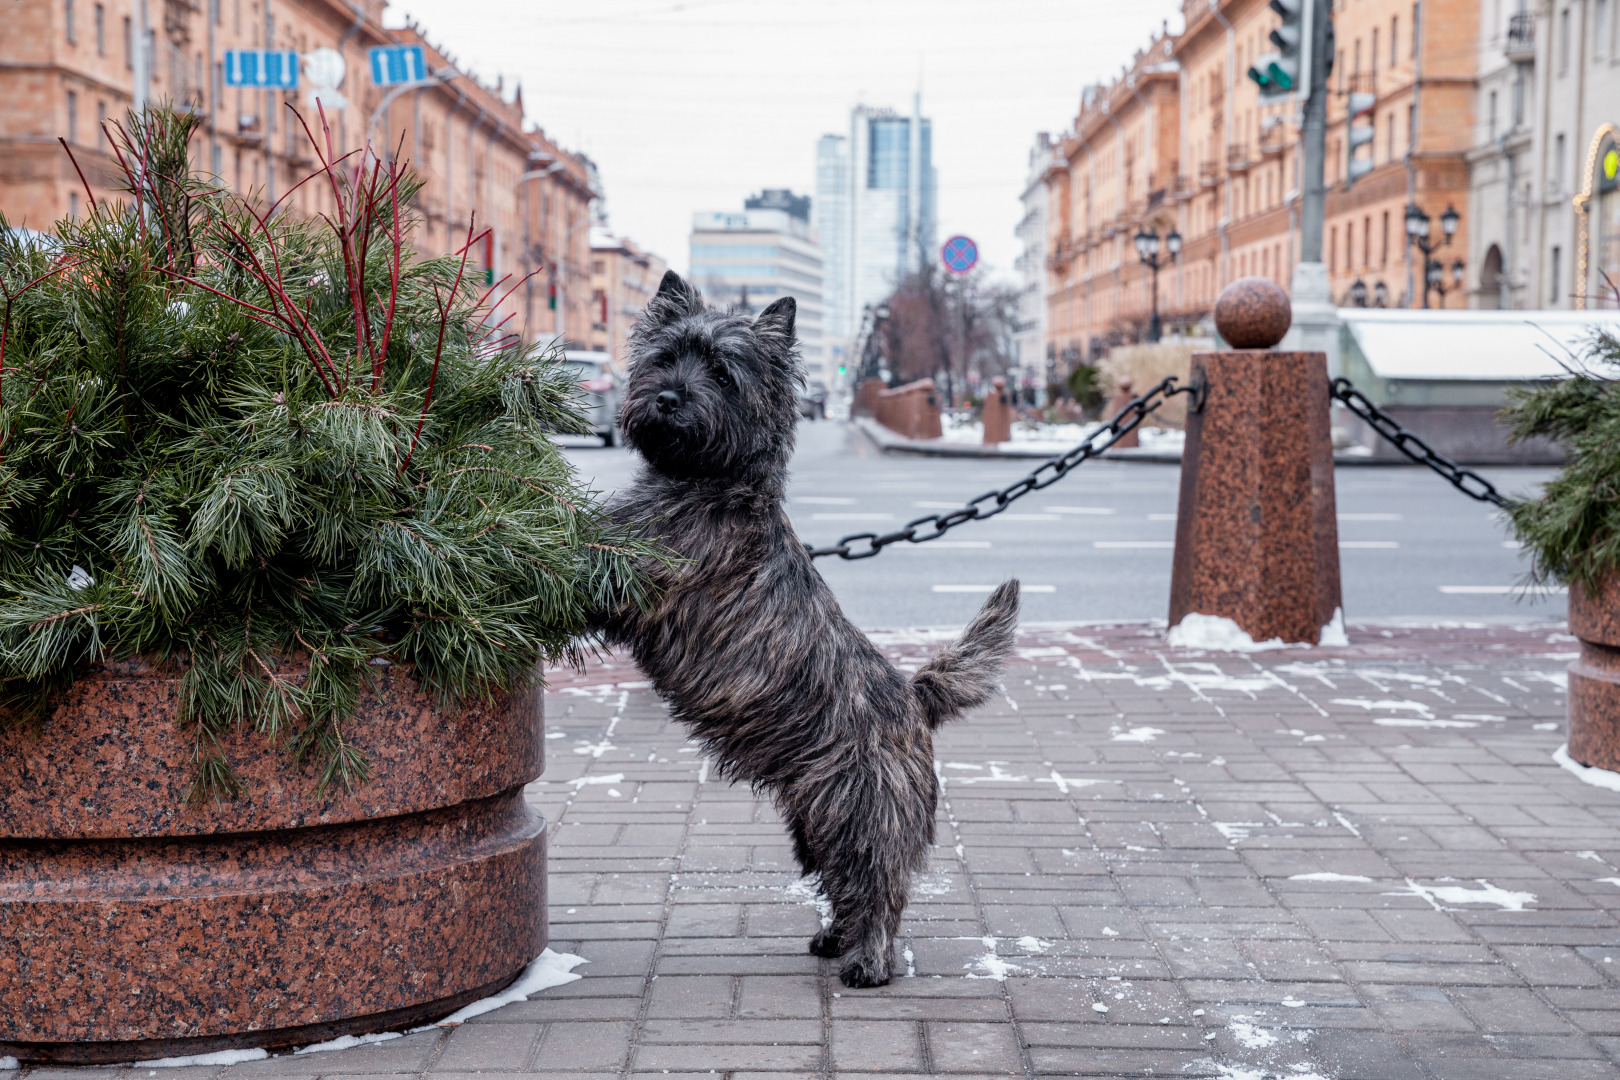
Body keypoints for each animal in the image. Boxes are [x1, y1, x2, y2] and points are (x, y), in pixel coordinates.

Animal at [602, 270, 1017, 990]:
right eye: (664, 356)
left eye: (722, 371)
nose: (666, 398)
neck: (712, 483)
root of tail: (914, 702)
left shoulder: (637, 573)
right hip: (813, 815)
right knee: (844, 882)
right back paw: (834, 939)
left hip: (860, 811)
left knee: (879, 885)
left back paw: (868, 961)